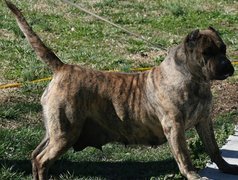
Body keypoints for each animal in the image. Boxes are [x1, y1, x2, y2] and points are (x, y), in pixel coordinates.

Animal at [5, 0, 238, 179]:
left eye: (224, 48)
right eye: (207, 52)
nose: (227, 66)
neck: (194, 78)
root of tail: (62, 68)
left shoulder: (204, 120)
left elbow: (214, 149)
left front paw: (226, 167)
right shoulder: (175, 126)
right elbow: (184, 155)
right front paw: (192, 174)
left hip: (54, 130)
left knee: (35, 155)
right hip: (65, 131)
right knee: (42, 159)